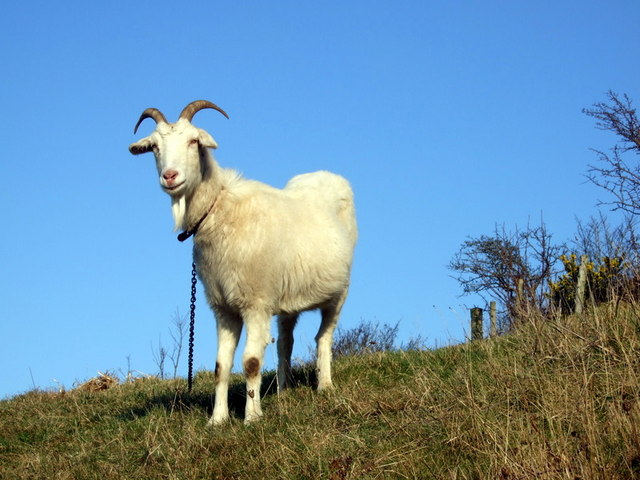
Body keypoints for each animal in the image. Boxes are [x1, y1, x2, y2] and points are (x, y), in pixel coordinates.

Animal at [129, 100, 360, 424]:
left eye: (193, 141)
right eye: (154, 147)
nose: (170, 176)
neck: (219, 209)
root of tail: (325, 173)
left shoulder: (256, 304)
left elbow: (250, 362)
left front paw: (252, 417)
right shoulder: (224, 308)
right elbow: (220, 366)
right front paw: (217, 419)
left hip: (339, 292)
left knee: (323, 337)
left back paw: (324, 385)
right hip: (286, 298)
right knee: (286, 342)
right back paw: (282, 390)